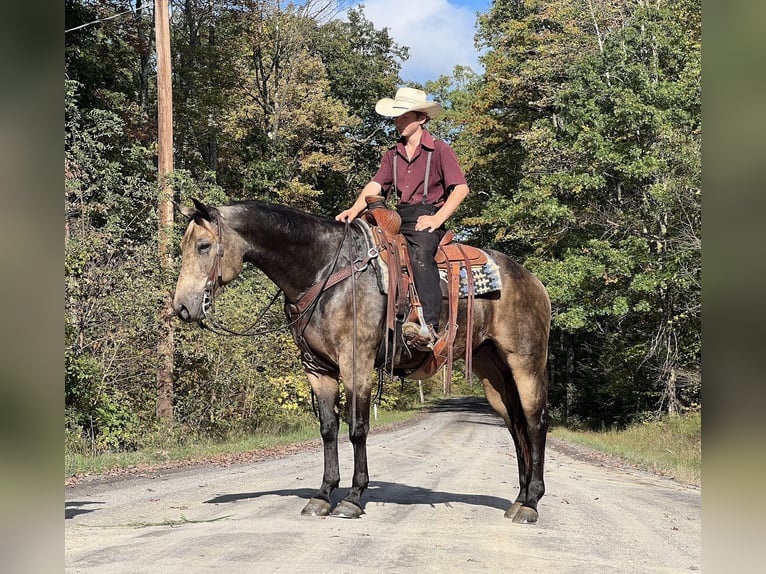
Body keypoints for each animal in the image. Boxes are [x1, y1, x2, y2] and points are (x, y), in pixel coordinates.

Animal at [172, 200, 552, 524]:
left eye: (203, 246)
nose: (182, 307)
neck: (324, 272)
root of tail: (533, 281)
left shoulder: (357, 363)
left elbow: (357, 428)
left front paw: (353, 497)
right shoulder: (318, 369)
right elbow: (328, 429)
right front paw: (323, 494)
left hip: (526, 362)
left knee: (535, 422)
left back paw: (531, 503)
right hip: (493, 373)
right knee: (515, 425)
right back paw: (519, 499)